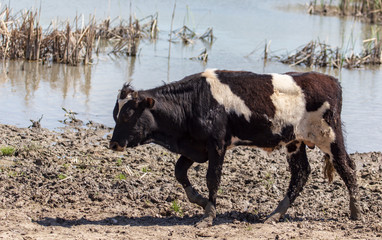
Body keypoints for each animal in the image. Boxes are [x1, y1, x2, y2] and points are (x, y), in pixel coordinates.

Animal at [109, 69, 362, 227]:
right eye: (115, 114)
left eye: (128, 114)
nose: (113, 143)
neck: (194, 101)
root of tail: (330, 80)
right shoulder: (195, 146)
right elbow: (179, 172)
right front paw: (201, 202)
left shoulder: (217, 144)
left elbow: (213, 178)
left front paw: (209, 215)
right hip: (295, 142)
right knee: (300, 173)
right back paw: (274, 215)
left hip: (329, 137)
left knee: (346, 167)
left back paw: (355, 212)